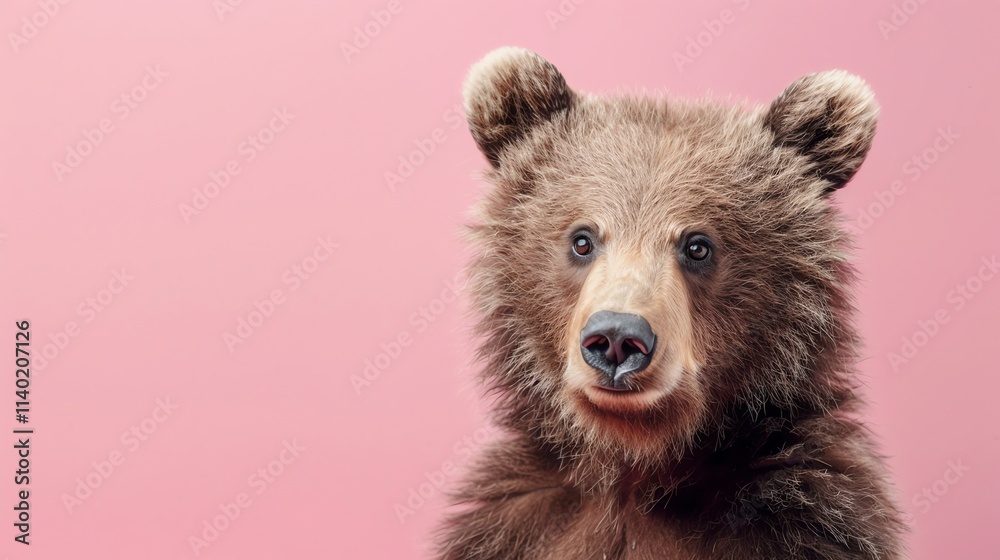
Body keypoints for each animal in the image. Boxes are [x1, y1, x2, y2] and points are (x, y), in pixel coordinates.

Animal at [436, 47, 906, 560]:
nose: (617, 338)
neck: (637, 465)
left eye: (697, 245)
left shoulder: (804, 521)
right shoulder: (521, 524)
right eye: (582, 239)